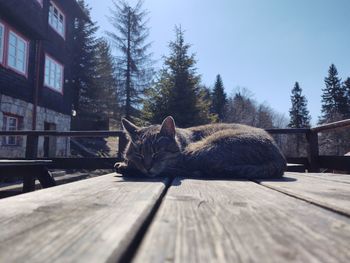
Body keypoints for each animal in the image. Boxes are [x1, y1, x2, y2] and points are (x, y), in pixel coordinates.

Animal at [115, 117, 288, 179]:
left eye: (157, 153)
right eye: (139, 154)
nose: (147, 167)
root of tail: (279, 157)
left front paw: (126, 165)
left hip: (202, 149)